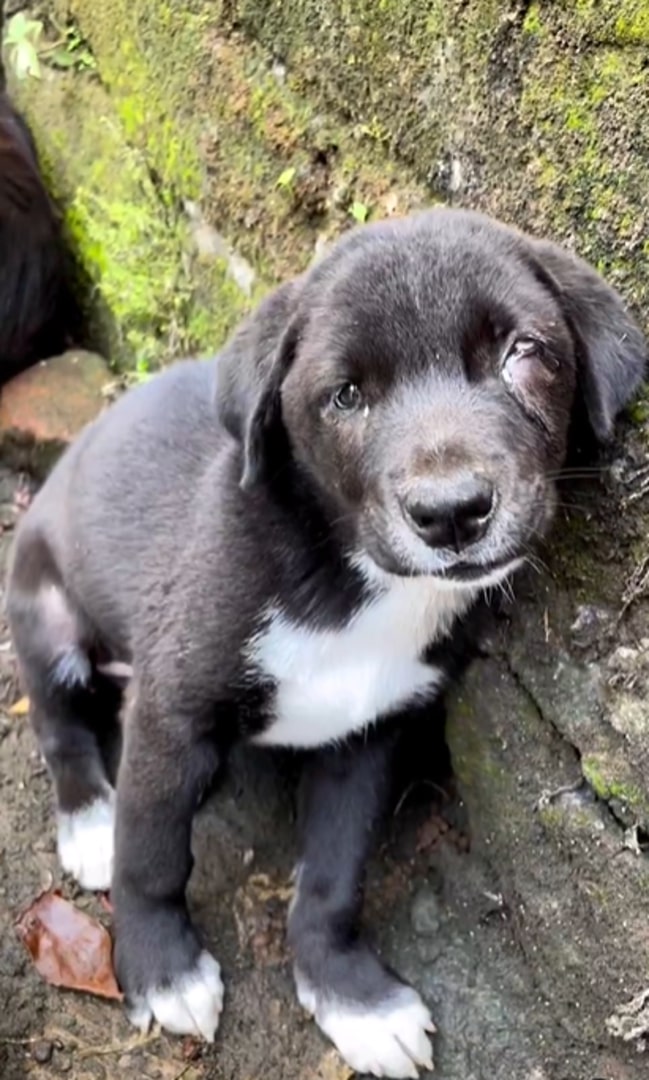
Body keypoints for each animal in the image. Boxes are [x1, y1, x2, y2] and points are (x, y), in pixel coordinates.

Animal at [5, 210, 643, 1080]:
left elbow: (334, 878)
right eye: (346, 395)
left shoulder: (369, 734)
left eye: (523, 352)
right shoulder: (170, 713)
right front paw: (160, 967)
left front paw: (349, 995)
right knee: (58, 725)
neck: (349, 584)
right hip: (44, 608)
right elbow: (153, 854)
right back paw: (89, 822)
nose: (450, 513)